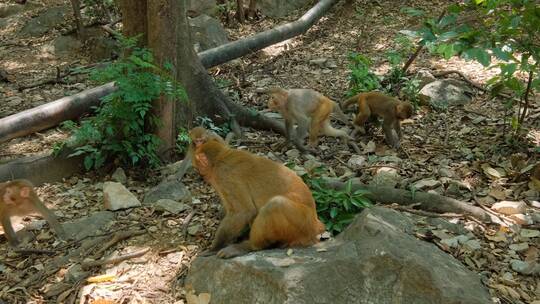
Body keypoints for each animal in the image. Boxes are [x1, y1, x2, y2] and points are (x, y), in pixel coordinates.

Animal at [190, 127, 324, 258]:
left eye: (198, 166)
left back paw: (250, 246)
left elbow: (243, 212)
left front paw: (215, 248)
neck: (221, 157)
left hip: (303, 223)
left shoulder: (224, 175)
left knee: (275, 205)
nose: (199, 175)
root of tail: (317, 224)